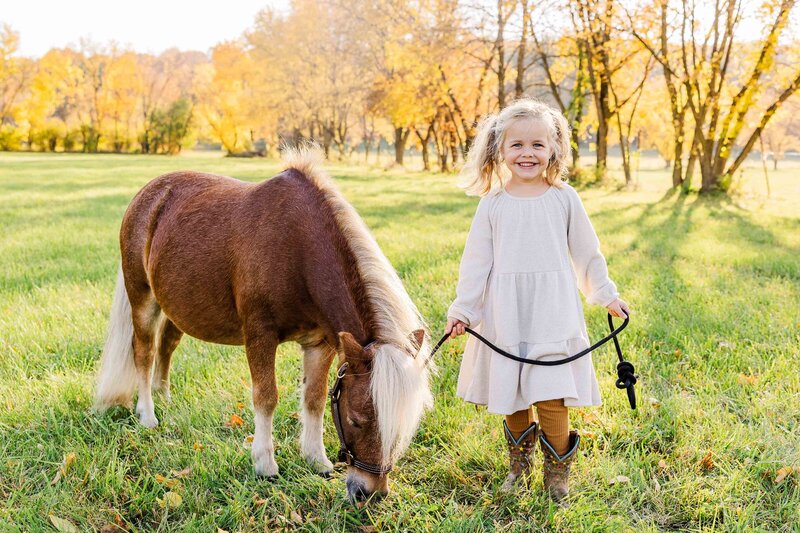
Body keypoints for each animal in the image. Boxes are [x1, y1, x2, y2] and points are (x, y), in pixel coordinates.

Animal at [95, 148, 432, 500]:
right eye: (355, 420)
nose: (369, 493)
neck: (298, 248)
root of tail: (147, 195)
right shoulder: (260, 335)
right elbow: (266, 397)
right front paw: (265, 465)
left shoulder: (321, 343)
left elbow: (314, 398)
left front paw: (317, 460)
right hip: (143, 298)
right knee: (144, 353)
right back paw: (148, 414)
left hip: (176, 307)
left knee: (167, 346)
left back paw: (164, 398)